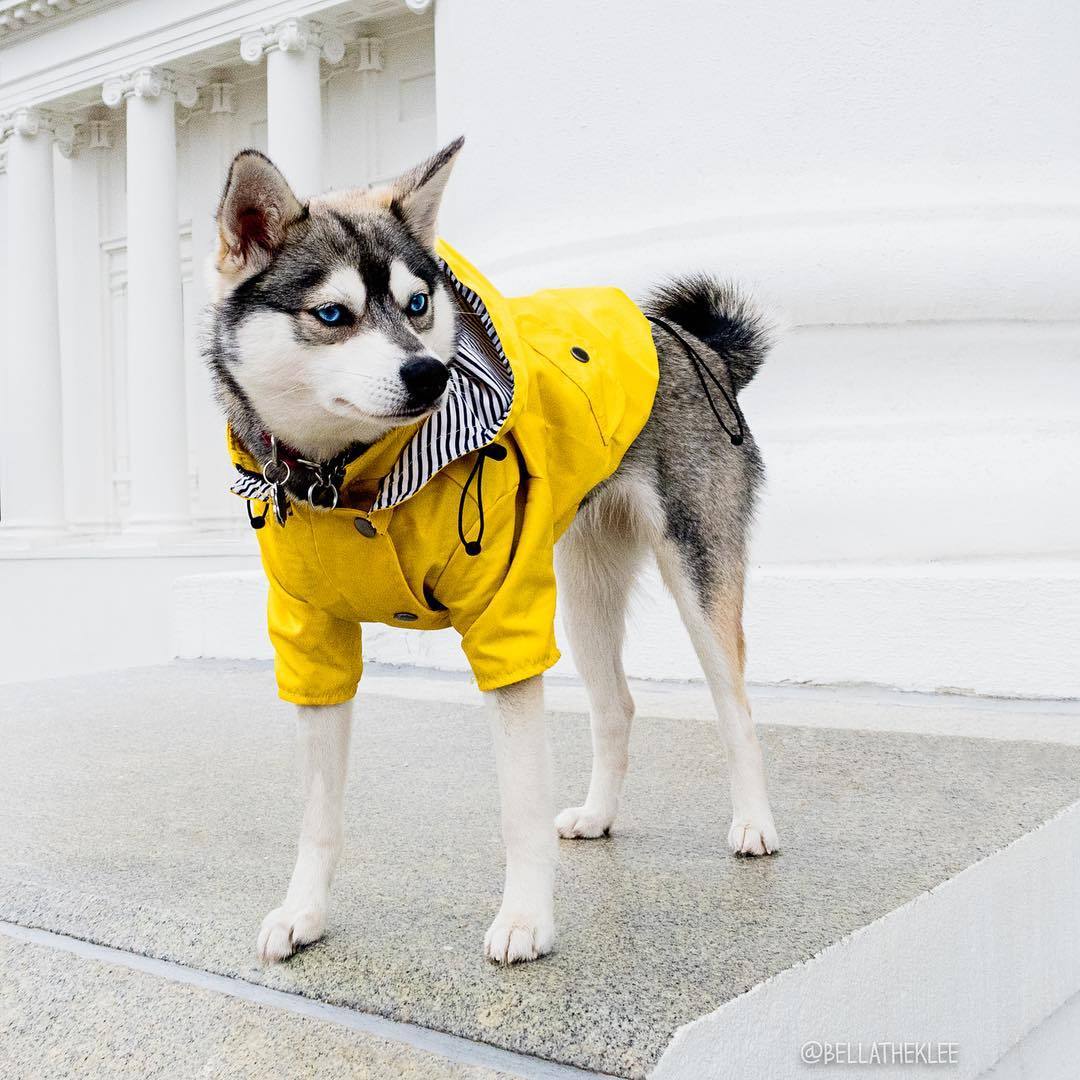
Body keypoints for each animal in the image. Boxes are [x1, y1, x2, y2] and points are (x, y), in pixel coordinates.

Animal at [203, 137, 777, 972]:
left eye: (419, 305)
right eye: (333, 315)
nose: (428, 372)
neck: (352, 485)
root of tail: (694, 341)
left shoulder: (507, 627)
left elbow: (519, 806)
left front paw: (526, 918)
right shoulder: (313, 647)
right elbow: (318, 815)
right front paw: (304, 911)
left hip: (697, 573)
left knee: (734, 703)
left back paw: (754, 822)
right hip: (582, 590)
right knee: (616, 704)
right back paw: (599, 813)